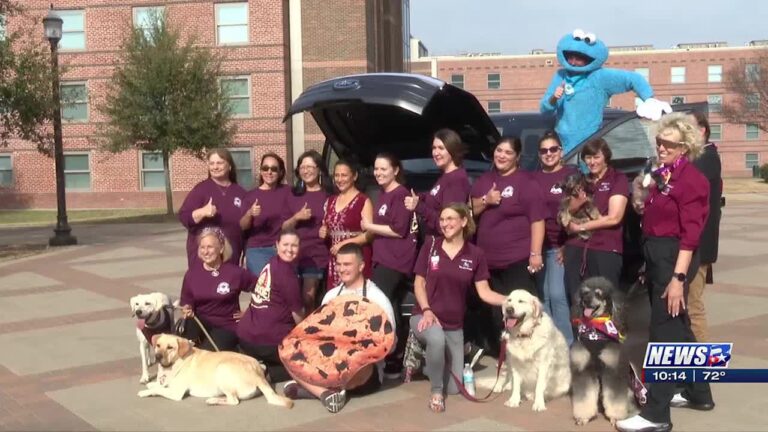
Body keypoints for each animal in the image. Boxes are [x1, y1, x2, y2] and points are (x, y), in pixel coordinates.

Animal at [568, 276, 632, 426]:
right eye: (584, 293)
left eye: (599, 294)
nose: (586, 301)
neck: (595, 331)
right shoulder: (585, 368)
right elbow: (584, 396)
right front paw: (583, 417)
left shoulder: (613, 369)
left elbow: (615, 399)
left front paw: (615, 417)